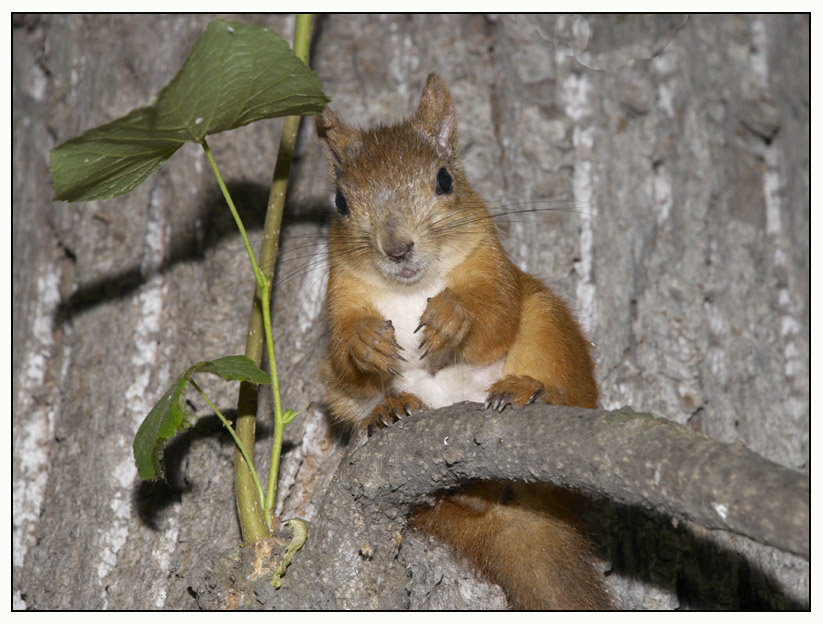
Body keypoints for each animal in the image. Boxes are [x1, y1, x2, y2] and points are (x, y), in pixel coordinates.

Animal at [315, 73, 611, 610]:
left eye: (444, 180)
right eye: (341, 202)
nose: (397, 248)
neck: (408, 289)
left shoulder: (494, 269)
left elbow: (493, 317)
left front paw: (452, 315)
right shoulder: (339, 297)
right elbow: (346, 353)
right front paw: (365, 344)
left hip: (549, 326)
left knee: (564, 386)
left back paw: (530, 390)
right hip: (338, 396)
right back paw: (391, 413)